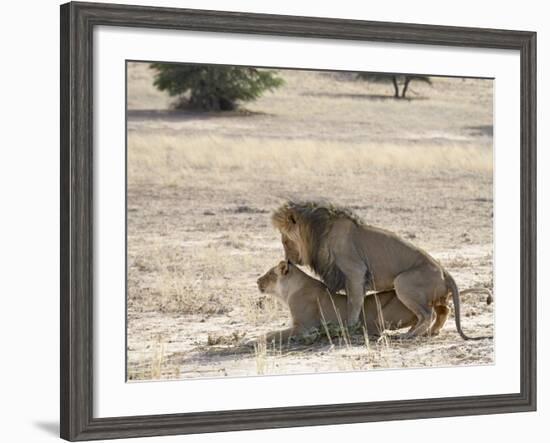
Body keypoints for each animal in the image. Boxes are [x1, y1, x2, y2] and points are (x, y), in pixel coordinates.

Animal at [258, 260, 418, 344]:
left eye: (270, 274)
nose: (257, 281)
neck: (288, 292)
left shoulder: (304, 327)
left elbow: (274, 334)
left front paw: (258, 339)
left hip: (382, 316)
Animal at [274, 201, 494, 340]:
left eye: (285, 240)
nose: (288, 260)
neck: (317, 233)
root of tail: (444, 271)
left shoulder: (355, 271)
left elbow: (354, 303)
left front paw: (349, 328)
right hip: (433, 293)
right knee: (444, 309)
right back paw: (431, 332)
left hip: (402, 282)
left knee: (428, 313)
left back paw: (409, 335)